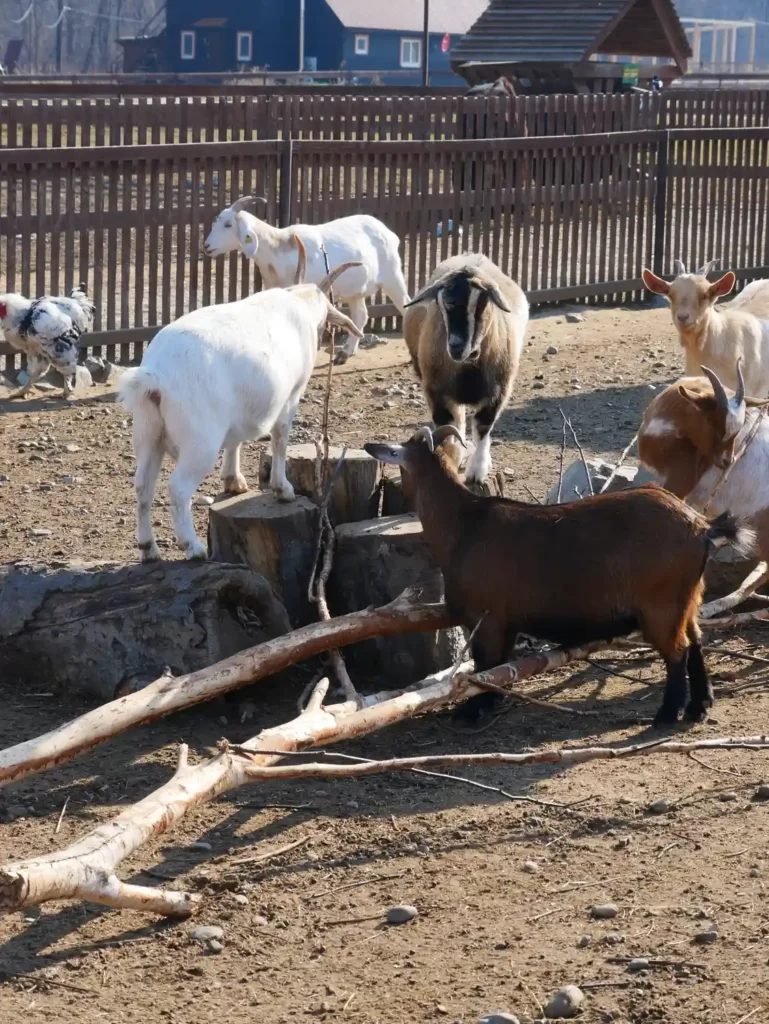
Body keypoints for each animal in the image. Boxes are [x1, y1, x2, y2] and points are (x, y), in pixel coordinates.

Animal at [118, 251, 362, 562]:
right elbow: (280, 439)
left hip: (148, 432)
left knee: (142, 487)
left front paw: (233, 481)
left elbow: (236, 440)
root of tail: (157, 374)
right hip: (200, 441)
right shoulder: (290, 397)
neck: (298, 302)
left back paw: (149, 549)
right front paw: (283, 489)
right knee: (178, 489)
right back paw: (193, 547)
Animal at [203, 196, 410, 363]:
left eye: (228, 224)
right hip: (356, 290)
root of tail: (388, 232)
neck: (279, 247)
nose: (206, 246)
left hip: (393, 276)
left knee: (405, 305)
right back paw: (345, 353)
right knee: (361, 315)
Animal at [364, 425, 754, 726]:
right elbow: (498, 665)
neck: (464, 524)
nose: (371, 446)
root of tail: (701, 526)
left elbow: (487, 666)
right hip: (689, 597)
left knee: (677, 651)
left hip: (661, 604)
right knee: (696, 641)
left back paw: (667, 715)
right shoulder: (505, 622)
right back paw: (699, 707)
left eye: (397, 453)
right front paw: (489, 704)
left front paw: (473, 709)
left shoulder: (487, 619)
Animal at [402, 254, 528, 484]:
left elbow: (482, 427)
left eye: (480, 304)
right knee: (458, 419)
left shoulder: (498, 392)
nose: (456, 346)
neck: (468, 368)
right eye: (441, 306)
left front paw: (477, 471)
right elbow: (447, 426)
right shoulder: (436, 392)